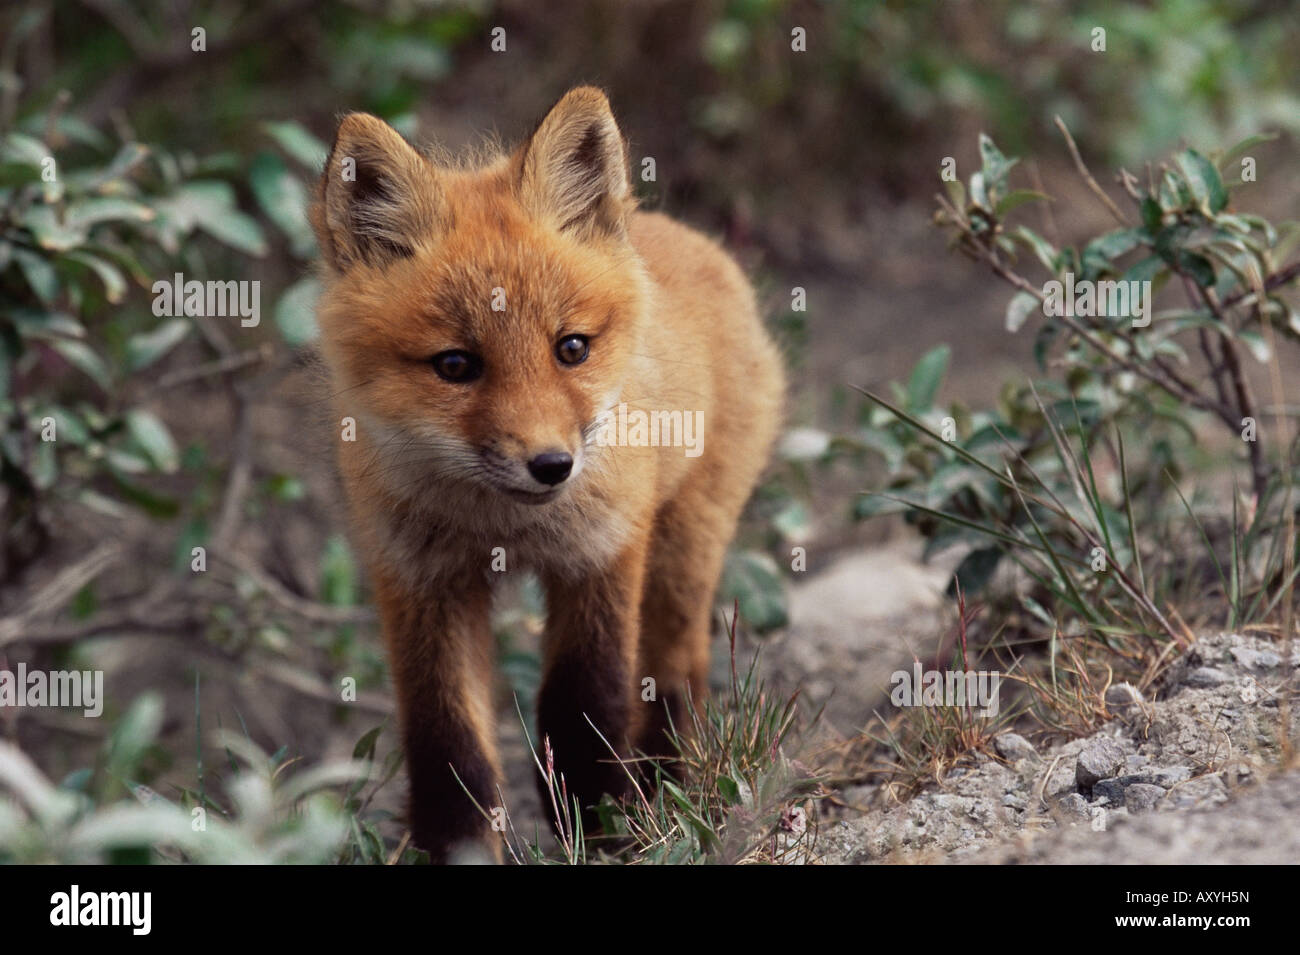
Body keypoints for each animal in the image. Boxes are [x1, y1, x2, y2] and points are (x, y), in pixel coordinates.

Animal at [309, 87, 784, 862]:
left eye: (571, 348)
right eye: (455, 365)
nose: (552, 466)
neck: (502, 525)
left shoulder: (600, 554)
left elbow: (583, 707)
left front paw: (603, 829)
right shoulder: (420, 580)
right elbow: (449, 741)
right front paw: (462, 847)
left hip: (683, 548)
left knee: (677, 667)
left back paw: (671, 784)